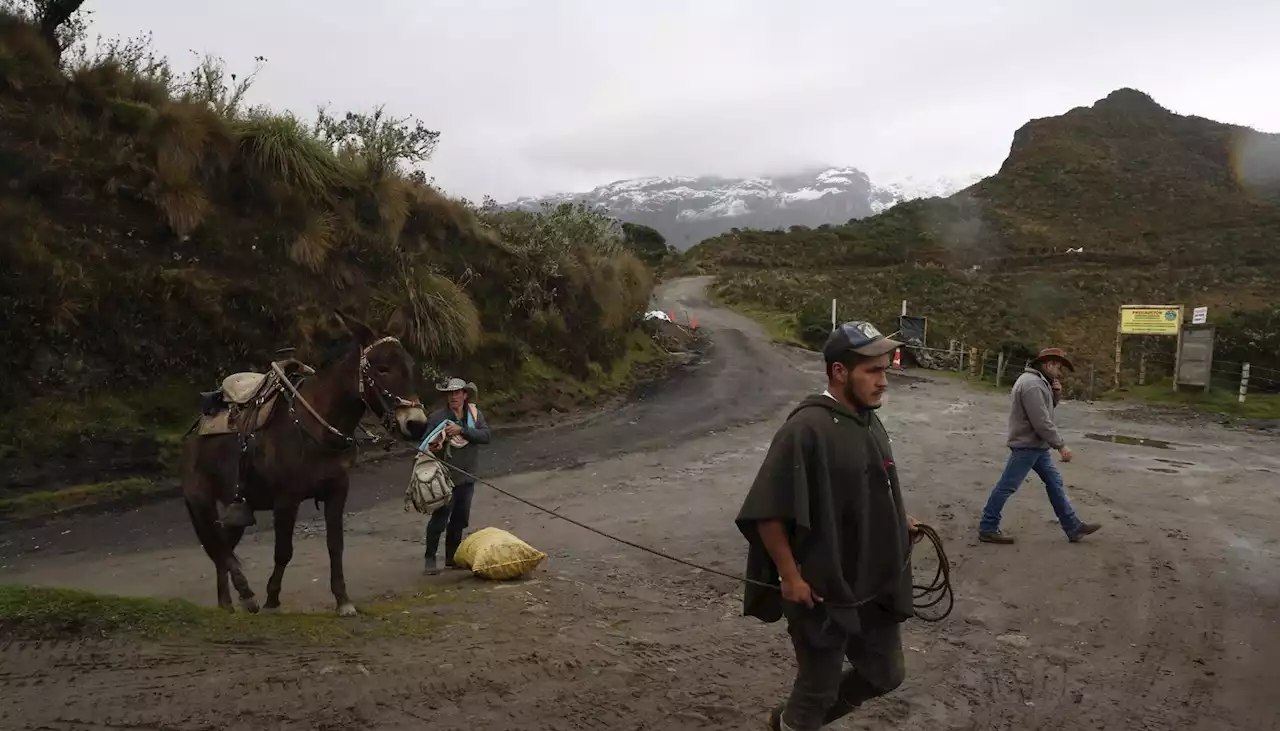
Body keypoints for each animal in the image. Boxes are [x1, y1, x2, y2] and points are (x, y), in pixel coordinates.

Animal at [181, 312, 430, 614]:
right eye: (382, 368)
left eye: (410, 366)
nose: (416, 424)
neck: (316, 426)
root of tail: (196, 429)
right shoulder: (286, 500)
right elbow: (283, 551)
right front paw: (272, 599)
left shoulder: (337, 492)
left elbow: (335, 545)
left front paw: (343, 600)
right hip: (200, 500)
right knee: (219, 548)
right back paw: (246, 593)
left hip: (235, 509)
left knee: (222, 548)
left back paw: (227, 605)